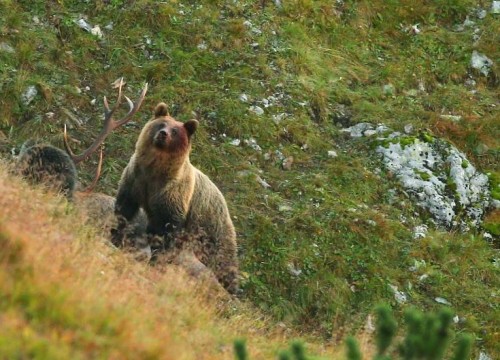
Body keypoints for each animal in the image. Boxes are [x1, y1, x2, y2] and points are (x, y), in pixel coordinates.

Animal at [113, 102, 238, 294]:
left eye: (175, 131)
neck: (154, 170)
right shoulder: (135, 180)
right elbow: (124, 209)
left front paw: (157, 261)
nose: (163, 134)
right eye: (161, 124)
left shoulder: (172, 196)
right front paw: (115, 235)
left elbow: (167, 232)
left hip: (212, 227)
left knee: (223, 259)